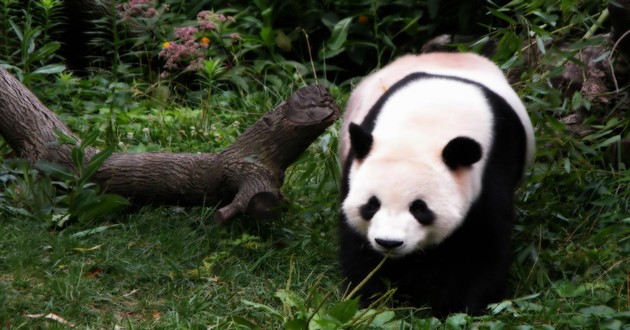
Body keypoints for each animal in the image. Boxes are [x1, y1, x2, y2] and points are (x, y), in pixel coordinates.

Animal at [338, 52, 536, 318]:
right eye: (372, 205)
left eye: (419, 208)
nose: (389, 242)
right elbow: (358, 246)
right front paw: (369, 299)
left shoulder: (492, 168)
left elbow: (480, 247)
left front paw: (458, 308)